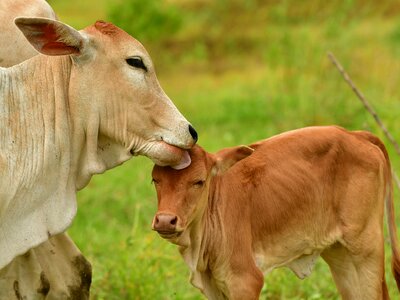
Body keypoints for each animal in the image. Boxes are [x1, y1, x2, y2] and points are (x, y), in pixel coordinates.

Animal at [152, 126, 400, 300]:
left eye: (199, 181)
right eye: (155, 179)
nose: (165, 220)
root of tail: (356, 134)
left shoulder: (245, 281)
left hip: (365, 249)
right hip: (342, 256)